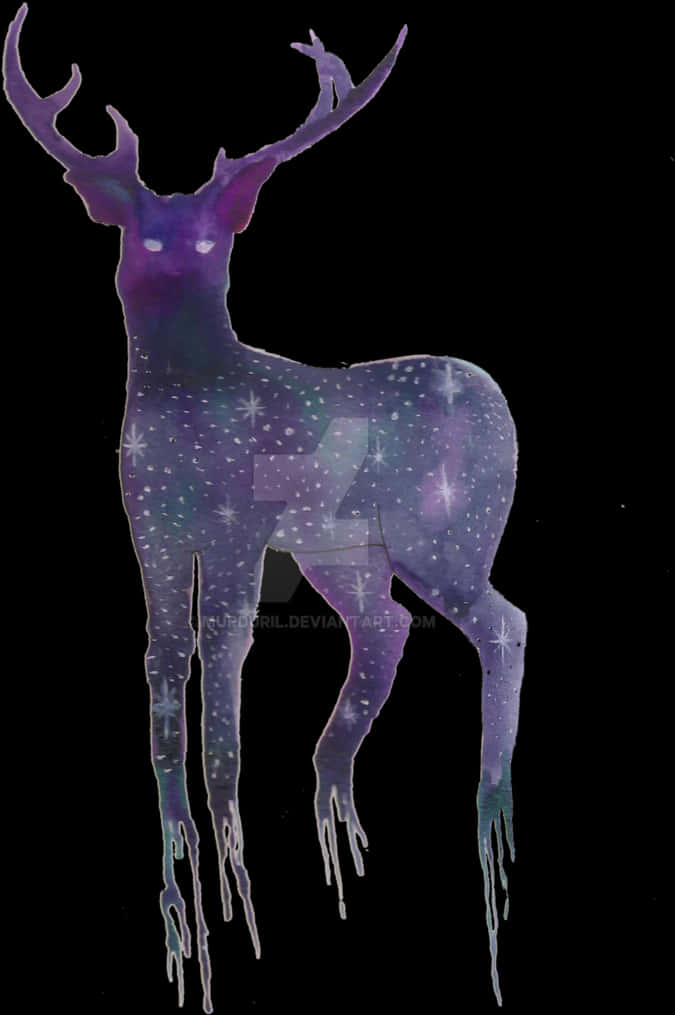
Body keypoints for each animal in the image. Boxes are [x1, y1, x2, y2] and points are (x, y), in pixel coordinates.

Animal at [4, 5, 526, 1010]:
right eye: (139, 235)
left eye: (215, 240)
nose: (173, 280)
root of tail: (499, 403)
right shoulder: (150, 525)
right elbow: (163, 663)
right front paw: (179, 900)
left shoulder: (238, 528)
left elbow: (226, 667)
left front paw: (231, 909)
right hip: (339, 550)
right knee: (384, 629)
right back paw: (338, 828)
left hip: (441, 531)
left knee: (502, 622)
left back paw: (488, 842)